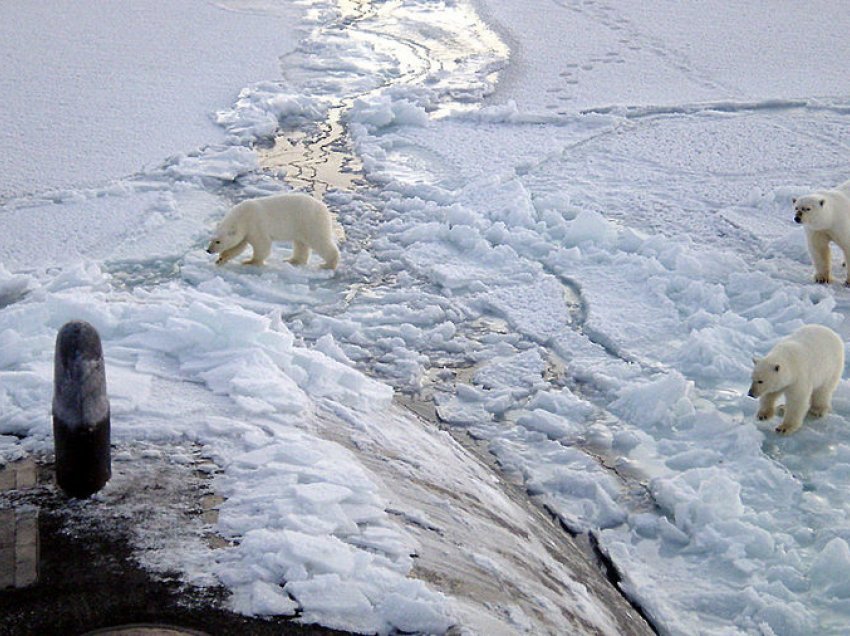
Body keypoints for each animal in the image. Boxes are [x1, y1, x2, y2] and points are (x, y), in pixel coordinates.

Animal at [205, 190, 338, 268]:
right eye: (211, 239)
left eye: (218, 241)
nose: (208, 250)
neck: (243, 215)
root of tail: (324, 208)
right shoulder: (245, 231)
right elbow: (237, 246)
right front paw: (221, 259)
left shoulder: (255, 224)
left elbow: (262, 245)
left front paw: (250, 261)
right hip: (301, 226)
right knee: (301, 243)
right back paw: (292, 260)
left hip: (310, 222)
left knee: (319, 241)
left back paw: (328, 264)